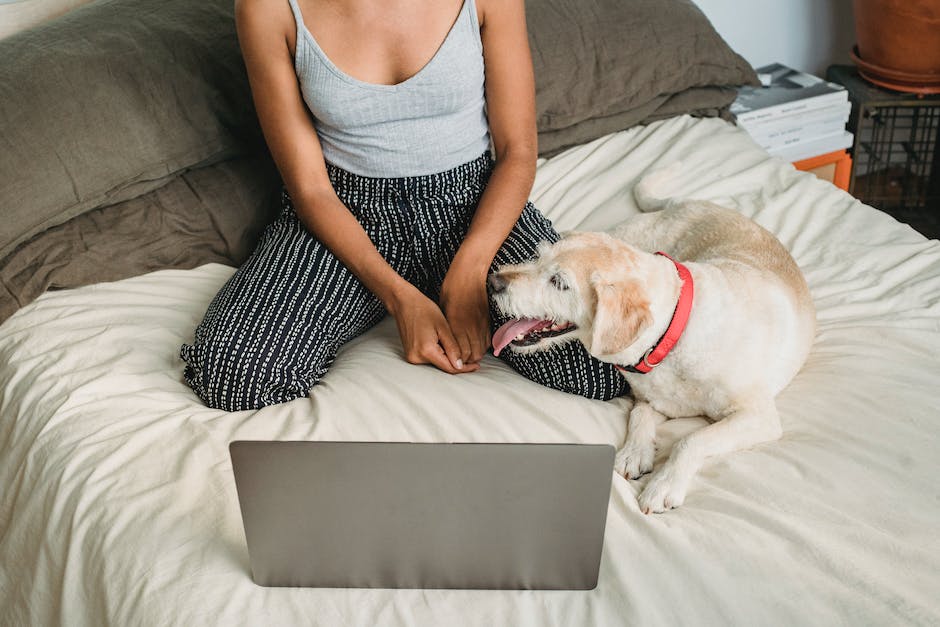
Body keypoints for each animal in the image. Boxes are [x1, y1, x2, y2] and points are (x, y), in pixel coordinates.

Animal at [488, 167, 812, 516]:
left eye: (559, 283)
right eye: (537, 257)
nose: (493, 282)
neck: (672, 334)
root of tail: (685, 202)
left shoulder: (758, 416)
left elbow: (692, 439)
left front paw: (664, 484)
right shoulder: (651, 400)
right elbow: (639, 416)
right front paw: (634, 452)